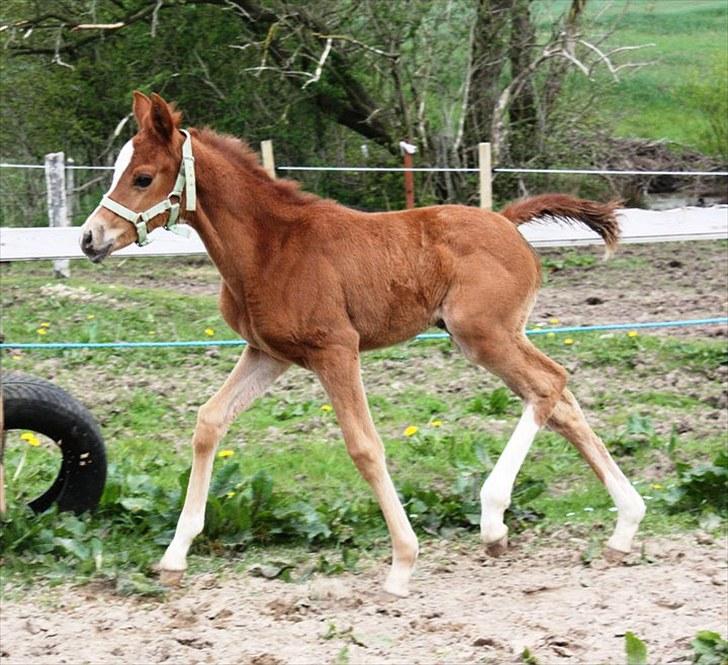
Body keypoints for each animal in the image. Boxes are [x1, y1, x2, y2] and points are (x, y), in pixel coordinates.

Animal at [82, 93, 644, 596]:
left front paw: (403, 563)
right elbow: (209, 422)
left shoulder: (335, 350)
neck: (271, 248)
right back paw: (623, 527)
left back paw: (494, 519)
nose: (90, 238)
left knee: (549, 384)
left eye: (142, 177)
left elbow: (364, 446)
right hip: (496, 336)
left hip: (483, 335)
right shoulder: (269, 353)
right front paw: (174, 557)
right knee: (559, 401)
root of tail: (506, 220)